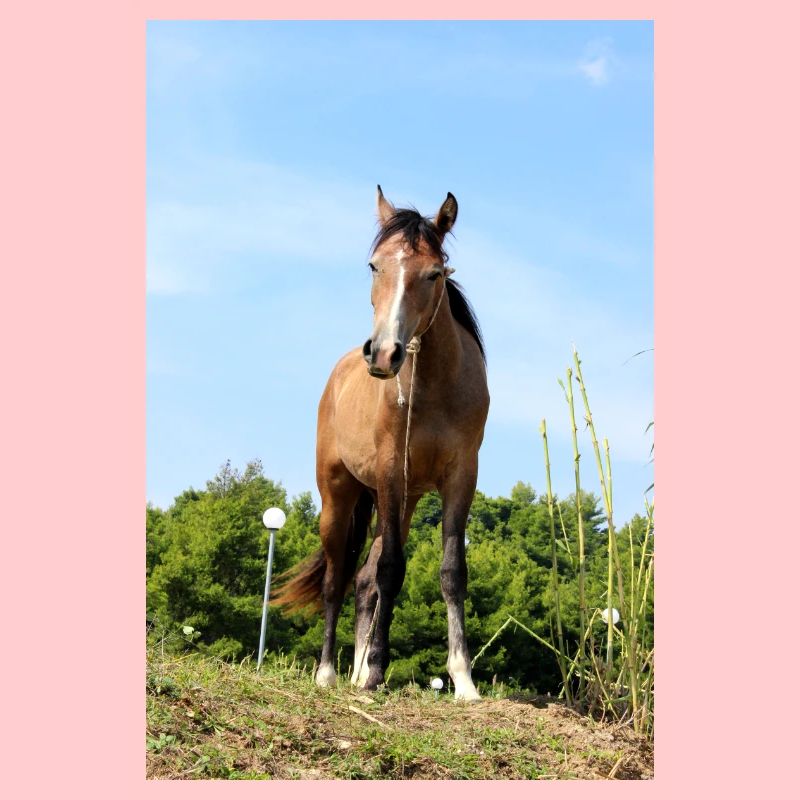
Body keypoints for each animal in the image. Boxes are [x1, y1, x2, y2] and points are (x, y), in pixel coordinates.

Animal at [273, 186, 489, 701]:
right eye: (374, 266)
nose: (384, 353)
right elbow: (391, 571)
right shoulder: (392, 472)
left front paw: (463, 679)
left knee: (362, 581)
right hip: (340, 497)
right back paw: (330, 673)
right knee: (337, 581)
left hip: (402, 501)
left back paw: (352, 670)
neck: (433, 386)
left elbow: (451, 572)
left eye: (434, 273)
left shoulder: (461, 477)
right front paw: (374, 672)